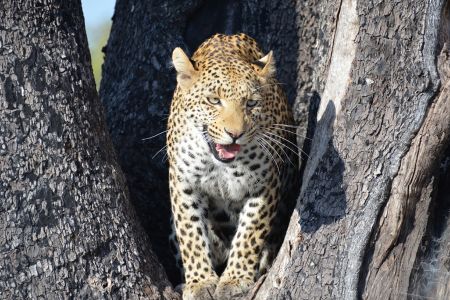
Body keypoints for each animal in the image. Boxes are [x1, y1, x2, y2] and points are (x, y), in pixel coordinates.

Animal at [167, 34, 298, 298]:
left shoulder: (264, 184)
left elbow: (250, 233)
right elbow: (190, 233)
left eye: (251, 103)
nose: (235, 134)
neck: (219, 165)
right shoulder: (182, 182)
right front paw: (200, 282)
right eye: (213, 100)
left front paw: (235, 280)